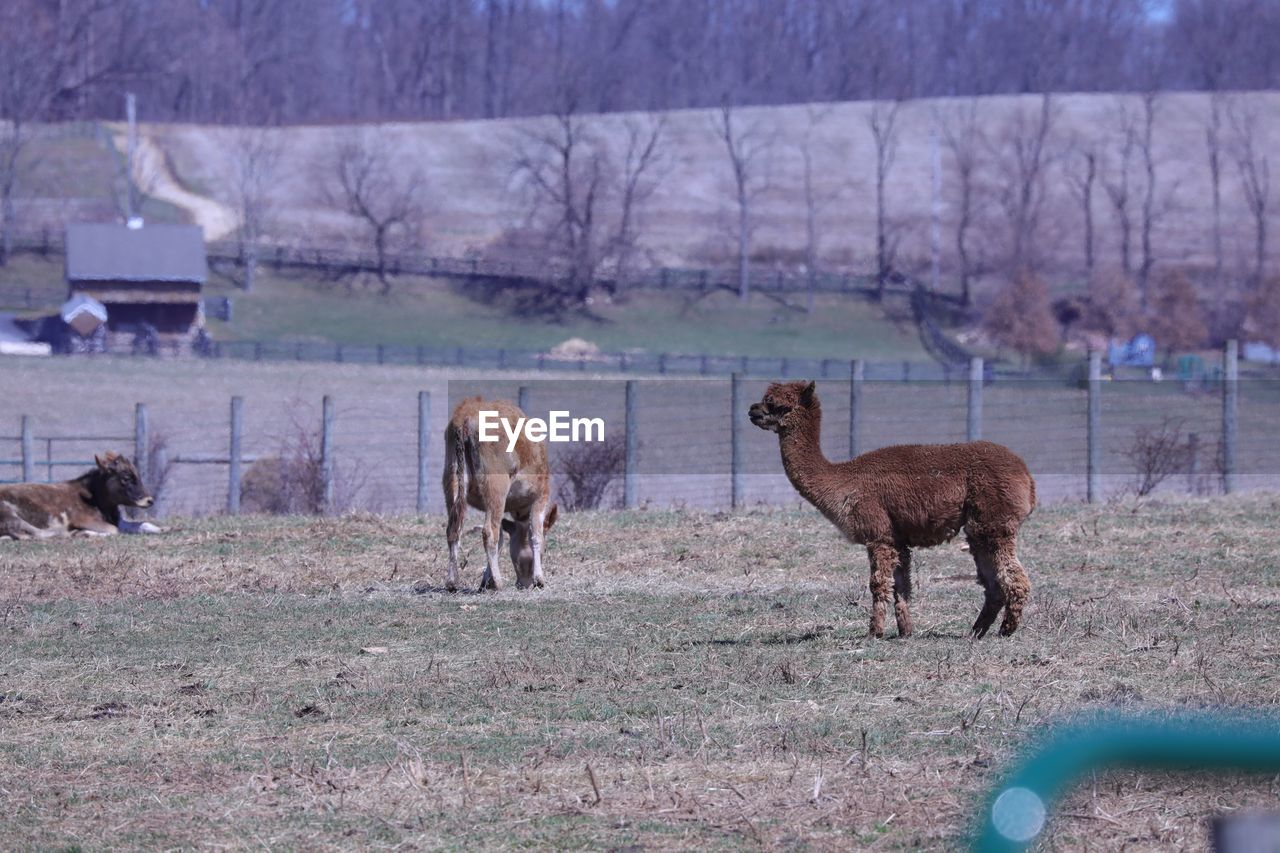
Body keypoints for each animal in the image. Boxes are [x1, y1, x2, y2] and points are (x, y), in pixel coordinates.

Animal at [0, 450, 158, 537]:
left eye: (138, 475)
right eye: (125, 478)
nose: (149, 500)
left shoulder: (118, 520)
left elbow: (143, 524)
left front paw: (160, 529)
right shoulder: (84, 520)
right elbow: (114, 530)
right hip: (11, 515)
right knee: (37, 533)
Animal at [445, 394, 555, 589]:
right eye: (546, 550)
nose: (524, 584)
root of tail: (467, 413)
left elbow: (502, 540)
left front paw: (485, 580)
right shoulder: (541, 496)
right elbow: (535, 535)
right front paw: (539, 579)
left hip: (452, 481)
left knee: (454, 530)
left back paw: (452, 581)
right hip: (496, 486)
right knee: (489, 531)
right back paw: (497, 582)